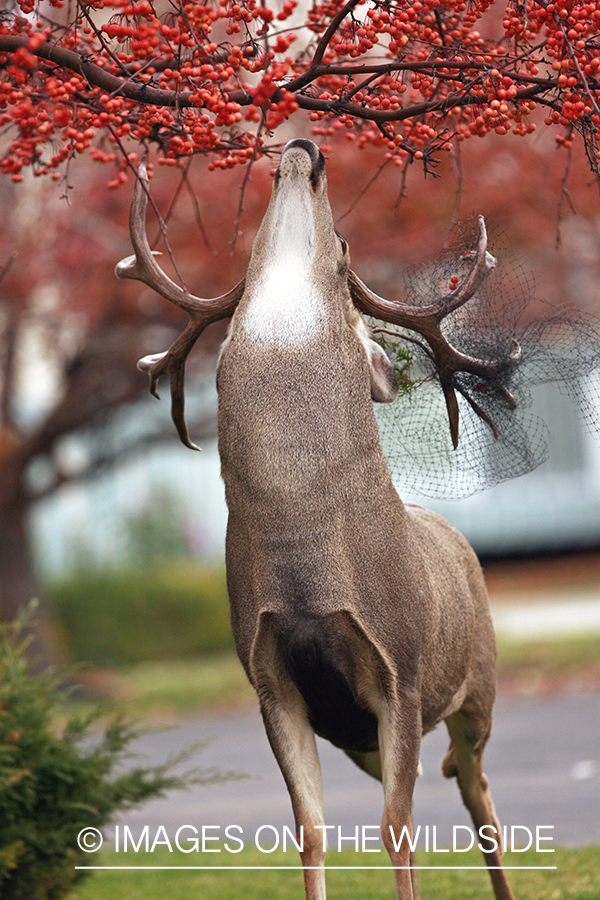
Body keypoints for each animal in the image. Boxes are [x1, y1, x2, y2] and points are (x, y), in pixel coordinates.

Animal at [116, 138, 518, 900]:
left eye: (344, 244)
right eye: (248, 244)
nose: (307, 146)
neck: (302, 553)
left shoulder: (401, 670)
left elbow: (397, 829)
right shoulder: (270, 675)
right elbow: (308, 830)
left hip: (477, 683)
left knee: (479, 793)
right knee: (460, 783)